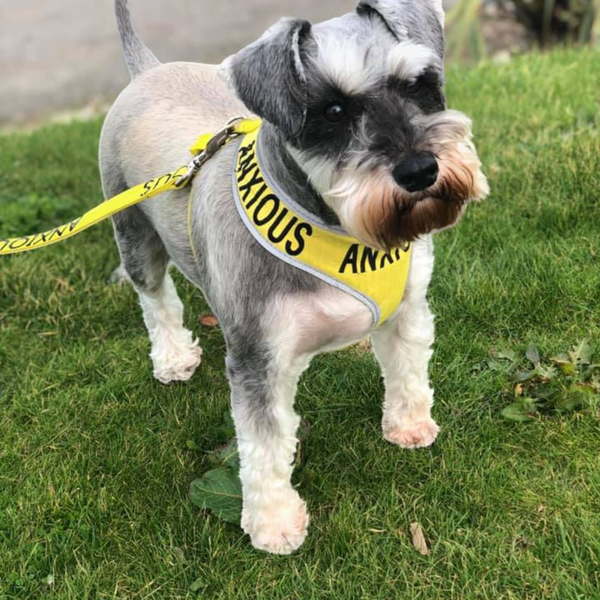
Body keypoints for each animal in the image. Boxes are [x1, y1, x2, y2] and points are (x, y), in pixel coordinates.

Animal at [101, 0, 490, 552]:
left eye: (418, 84)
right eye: (333, 111)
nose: (420, 171)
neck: (341, 232)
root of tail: (148, 69)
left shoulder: (408, 310)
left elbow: (408, 371)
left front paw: (410, 424)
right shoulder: (258, 360)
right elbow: (263, 447)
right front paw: (274, 523)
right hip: (134, 234)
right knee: (155, 298)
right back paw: (173, 357)